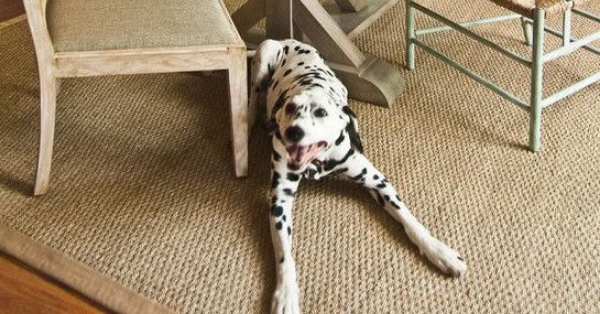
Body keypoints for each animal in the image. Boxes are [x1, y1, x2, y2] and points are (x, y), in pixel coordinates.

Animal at [250, 39, 468, 314]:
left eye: (321, 113)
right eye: (290, 107)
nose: (293, 132)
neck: (318, 162)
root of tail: (290, 40)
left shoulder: (378, 182)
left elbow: (410, 221)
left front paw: (439, 251)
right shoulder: (279, 201)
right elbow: (284, 255)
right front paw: (286, 294)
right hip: (265, 54)